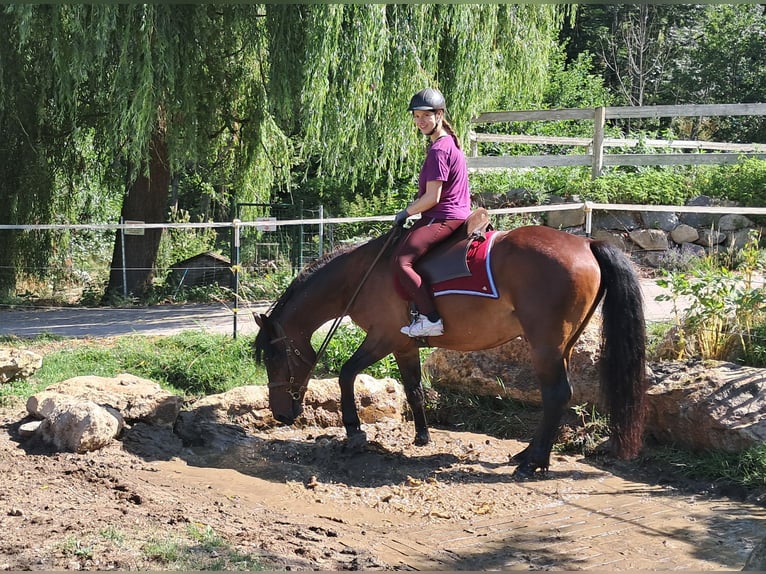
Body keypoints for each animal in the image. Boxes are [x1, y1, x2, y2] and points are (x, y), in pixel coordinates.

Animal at [253, 224, 647, 477]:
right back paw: (532, 455)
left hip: (545, 345)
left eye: (273, 357)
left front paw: (354, 431)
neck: (361, 275)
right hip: (562, 344)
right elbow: (413, 389)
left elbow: (346, 373)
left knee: (556, 394)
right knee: (558, 397)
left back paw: (532, 462)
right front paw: (422, 436)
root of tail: (588, 244)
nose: (281, 414)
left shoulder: (382, 338)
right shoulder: (404, 344)